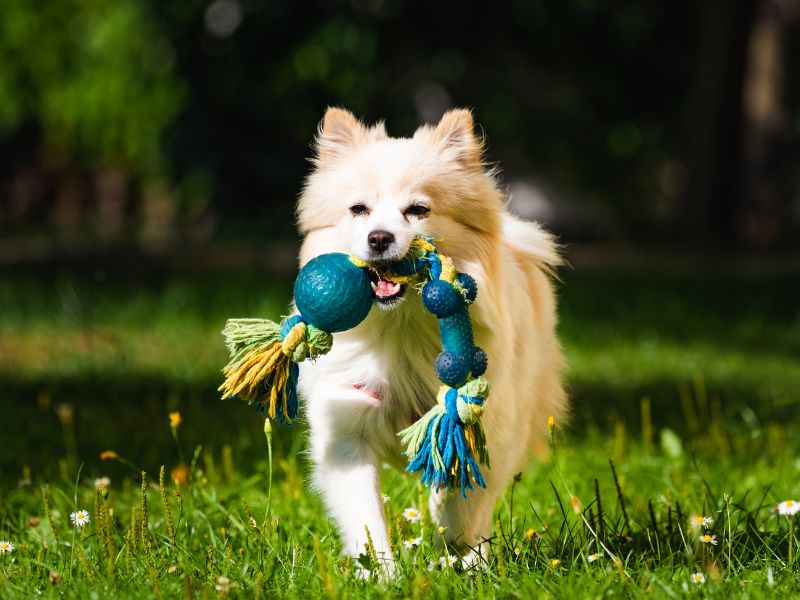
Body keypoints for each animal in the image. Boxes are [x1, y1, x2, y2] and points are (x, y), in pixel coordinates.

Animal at [296, 108, 568, 572]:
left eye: (418, 210)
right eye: (359, 210)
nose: (379, 237)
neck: (400, 328)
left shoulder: (481, 426)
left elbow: (461, 499)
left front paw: (454, 551)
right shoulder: (347, 431)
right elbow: (366, 518)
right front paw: (382, 574)